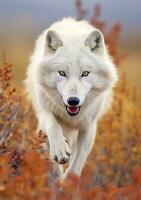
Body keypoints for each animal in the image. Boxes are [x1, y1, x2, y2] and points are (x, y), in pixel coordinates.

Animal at [25, 17, 118, 180]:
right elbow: (53, 126)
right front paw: (60, 150)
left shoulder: (89, 127)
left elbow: (76, 165)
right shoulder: (45, 111)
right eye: (62, 73)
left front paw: (68, 183)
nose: (73, 101)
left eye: (85, 73)